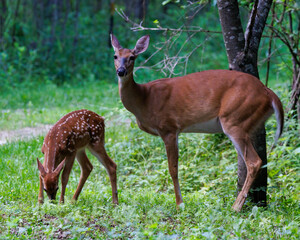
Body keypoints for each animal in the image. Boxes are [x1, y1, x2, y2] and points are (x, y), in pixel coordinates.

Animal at [110, 34, 284, 212]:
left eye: (132, 57)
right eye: (115, 56)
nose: (120, 71)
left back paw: (235, 207)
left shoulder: (169, 127)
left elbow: (173, 168)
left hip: (234, 118)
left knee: (254, 162)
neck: (144, 99)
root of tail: (268, 92)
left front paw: (180, 204)